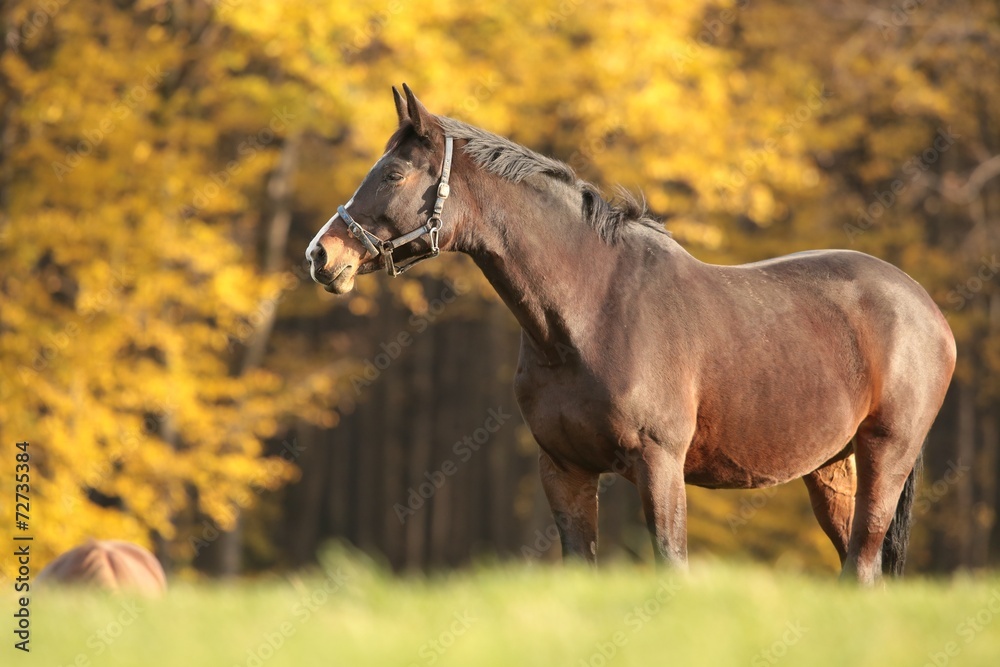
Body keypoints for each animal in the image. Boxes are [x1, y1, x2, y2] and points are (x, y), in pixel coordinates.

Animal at [307, 85, 956, 584]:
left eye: (393, 172)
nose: (321, 256)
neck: (589, 313)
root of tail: (926, 308)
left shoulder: (660, 464)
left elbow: (671, 563)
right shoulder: (564, 469)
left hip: (885, 456)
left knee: (862, 563)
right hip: (832, 469)